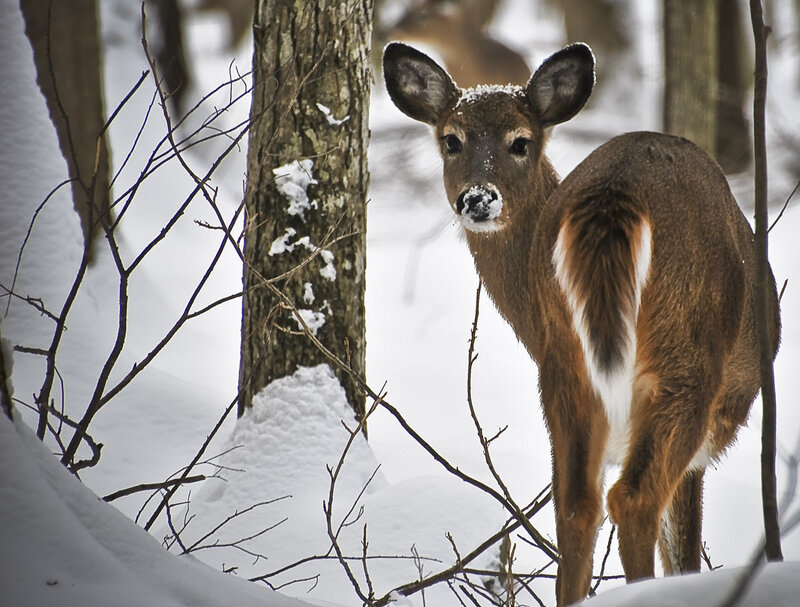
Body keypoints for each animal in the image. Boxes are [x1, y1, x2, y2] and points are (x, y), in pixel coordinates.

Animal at [382, 42, 781, 605]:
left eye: (520, 142)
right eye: (451, 140)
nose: (478, 198)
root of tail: (614, 196)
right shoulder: (701, 449)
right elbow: (682, 550)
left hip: (563, 365)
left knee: (576, 504)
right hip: (685, 355)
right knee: (631, 499)